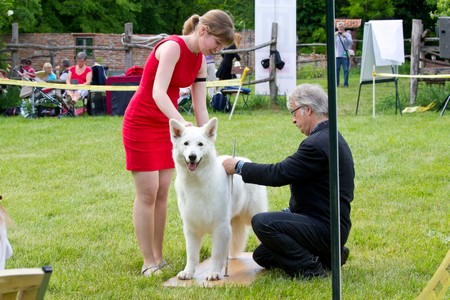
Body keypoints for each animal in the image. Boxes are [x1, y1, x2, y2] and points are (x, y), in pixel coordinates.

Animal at [169, 118, 268, 282]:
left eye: (200, 144)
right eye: (186, 144)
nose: (192, 157)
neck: (197, 182)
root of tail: (244, 159)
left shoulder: (220, 227)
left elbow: (216, 254)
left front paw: (214, 273)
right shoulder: (191, 227)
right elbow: (192, 254)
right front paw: (188, 272)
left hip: (252, 215)